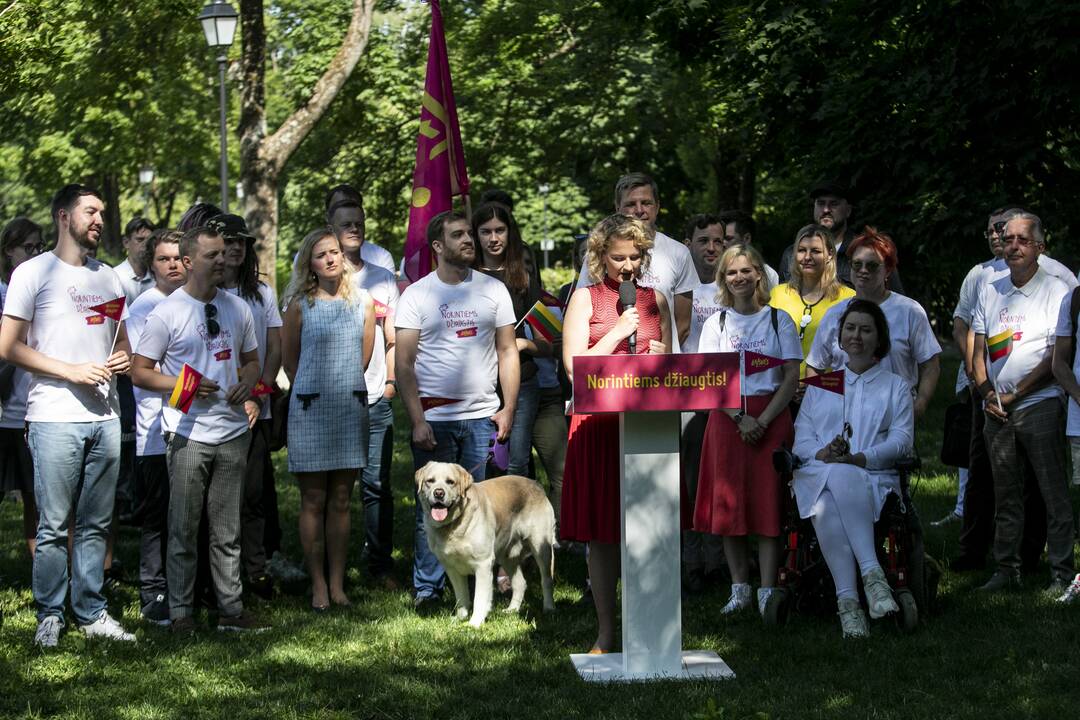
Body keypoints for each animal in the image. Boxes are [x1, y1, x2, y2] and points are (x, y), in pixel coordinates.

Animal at [414, 462, 557, 626]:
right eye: (430, 481)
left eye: (450, 482)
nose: (438, 493)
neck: (454, 525)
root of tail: (536, 484)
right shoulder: (451, 568)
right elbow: (461, 596)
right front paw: (460, 617)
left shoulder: (482, 564)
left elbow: (479, 598)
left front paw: (475, 623)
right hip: (507, 556)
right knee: (520, 583)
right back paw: (512, 610)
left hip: (541, 546)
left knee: (547, 580)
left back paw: (549, 608)